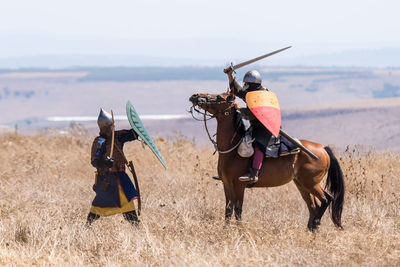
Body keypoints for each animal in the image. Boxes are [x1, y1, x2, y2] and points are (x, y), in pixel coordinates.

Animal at [189, 93, 346, 231]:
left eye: (219, 97)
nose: (195, 96)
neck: (232, 150)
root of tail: (323, 148)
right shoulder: (226, 184)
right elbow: (228, 210)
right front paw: (225, 229)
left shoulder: (239, 185)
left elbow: (238, 209)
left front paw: (240, 231)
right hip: (302, 184)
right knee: (313, 206)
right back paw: (311, 229)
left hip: (311, 183)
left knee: (327, 199)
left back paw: (317, 223)